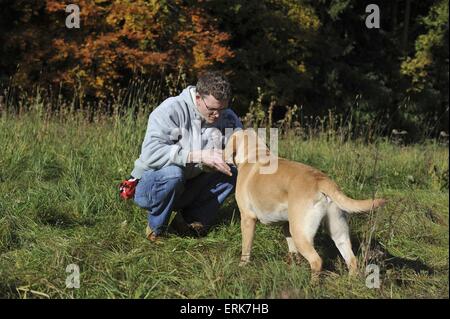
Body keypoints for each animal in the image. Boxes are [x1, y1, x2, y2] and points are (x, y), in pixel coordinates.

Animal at [223, 129, 384, 276]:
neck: (255, 154)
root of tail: (321, 180)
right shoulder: (286, 225)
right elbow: (293, 251)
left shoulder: (247, 219)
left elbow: (246, 248)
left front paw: (242, 266)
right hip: (338, 232)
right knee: (351, 260)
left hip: (301, 233)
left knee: (316, 261)